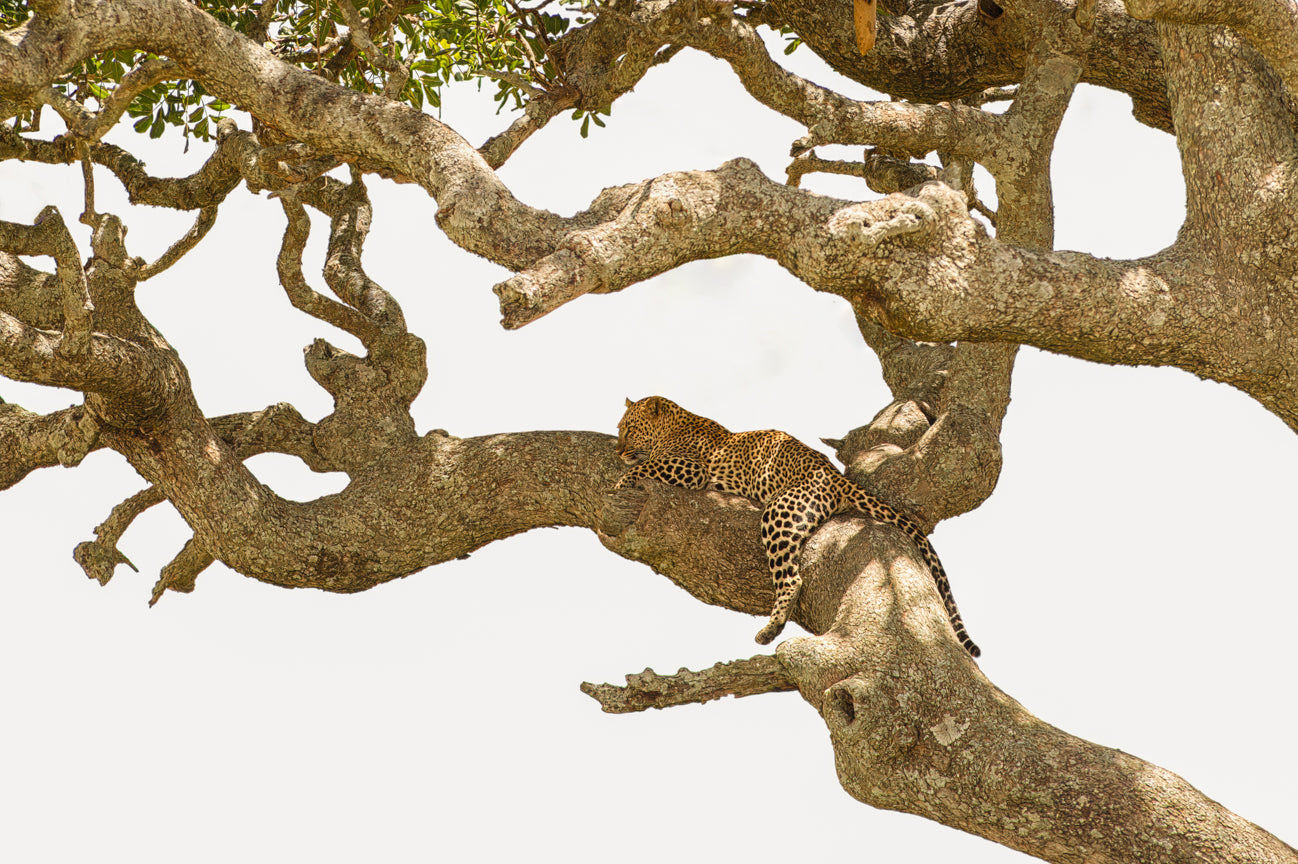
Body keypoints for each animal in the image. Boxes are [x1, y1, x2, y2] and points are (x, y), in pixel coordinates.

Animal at [612, 396, 980, 657]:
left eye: (629, 429)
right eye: (618, 429)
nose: (617, 450)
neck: (674, 424)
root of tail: (836, 477)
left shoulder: (693, 468)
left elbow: (647, 465)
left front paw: (620, 480)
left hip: (779, 512)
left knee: (792, 578)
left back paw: (770, 629)